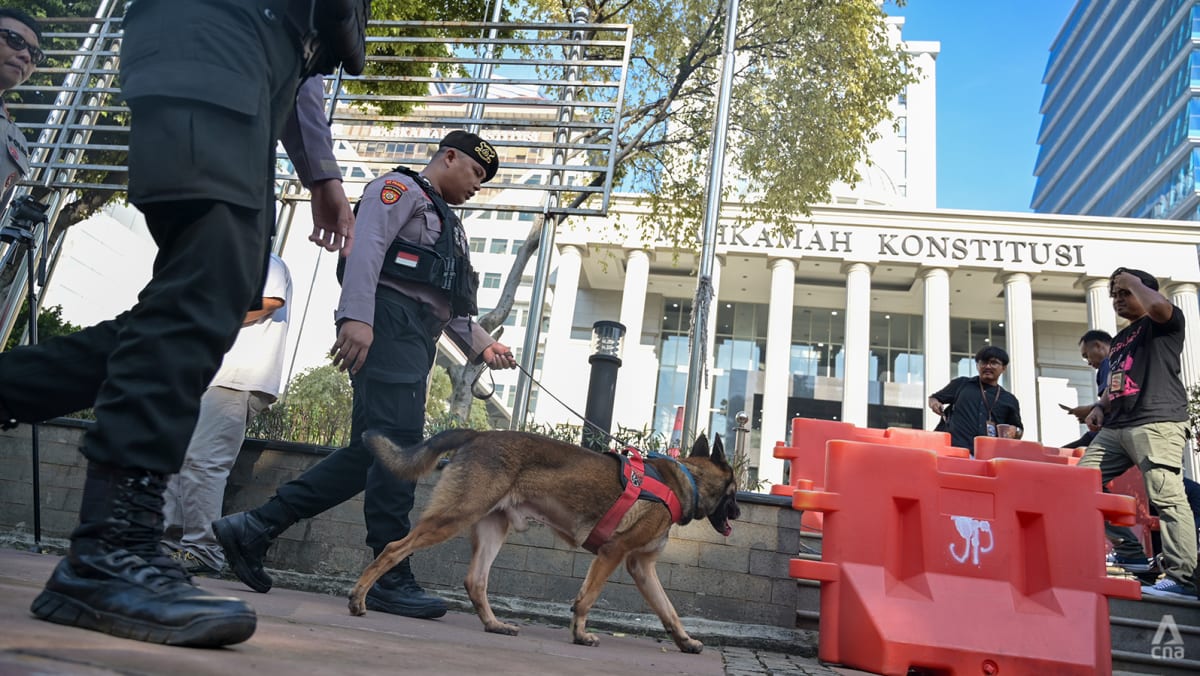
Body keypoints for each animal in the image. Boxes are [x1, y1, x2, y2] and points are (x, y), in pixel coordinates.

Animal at [350, 427, 739, 657]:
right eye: (734, 492)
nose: (736, 514)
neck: (687, 480)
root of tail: (479, 433)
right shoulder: (612, 554)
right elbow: (587, 599)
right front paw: (580, 635)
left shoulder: (640, 567)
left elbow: (668, 610)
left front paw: (685, 641)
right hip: (453, 517)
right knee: (393, 548)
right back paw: (358, 599)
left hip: (493, 528)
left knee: (475, 581)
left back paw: (495, 625)